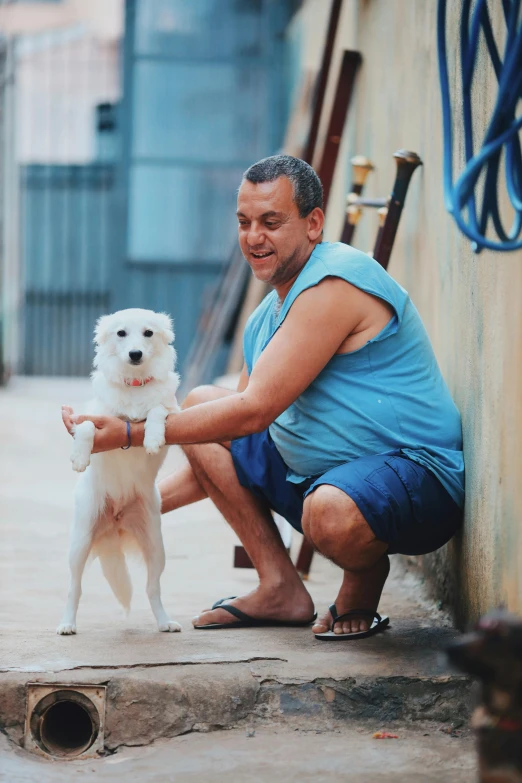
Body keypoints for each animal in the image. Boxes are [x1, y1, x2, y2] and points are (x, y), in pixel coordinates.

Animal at [57, 308, 181, 636]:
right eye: (121, 333)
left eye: (148, 333)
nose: (135, 354)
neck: (135, 384)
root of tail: (115, 522)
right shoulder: (96, 416)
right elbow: (88, 425)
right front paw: (79, 457)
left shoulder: (174, 413)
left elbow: (158, 410)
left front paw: (151, 437)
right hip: (79, 543)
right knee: (74, 588)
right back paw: (67, 623)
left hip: (156, 546)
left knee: (153, 588)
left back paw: (164, 621)